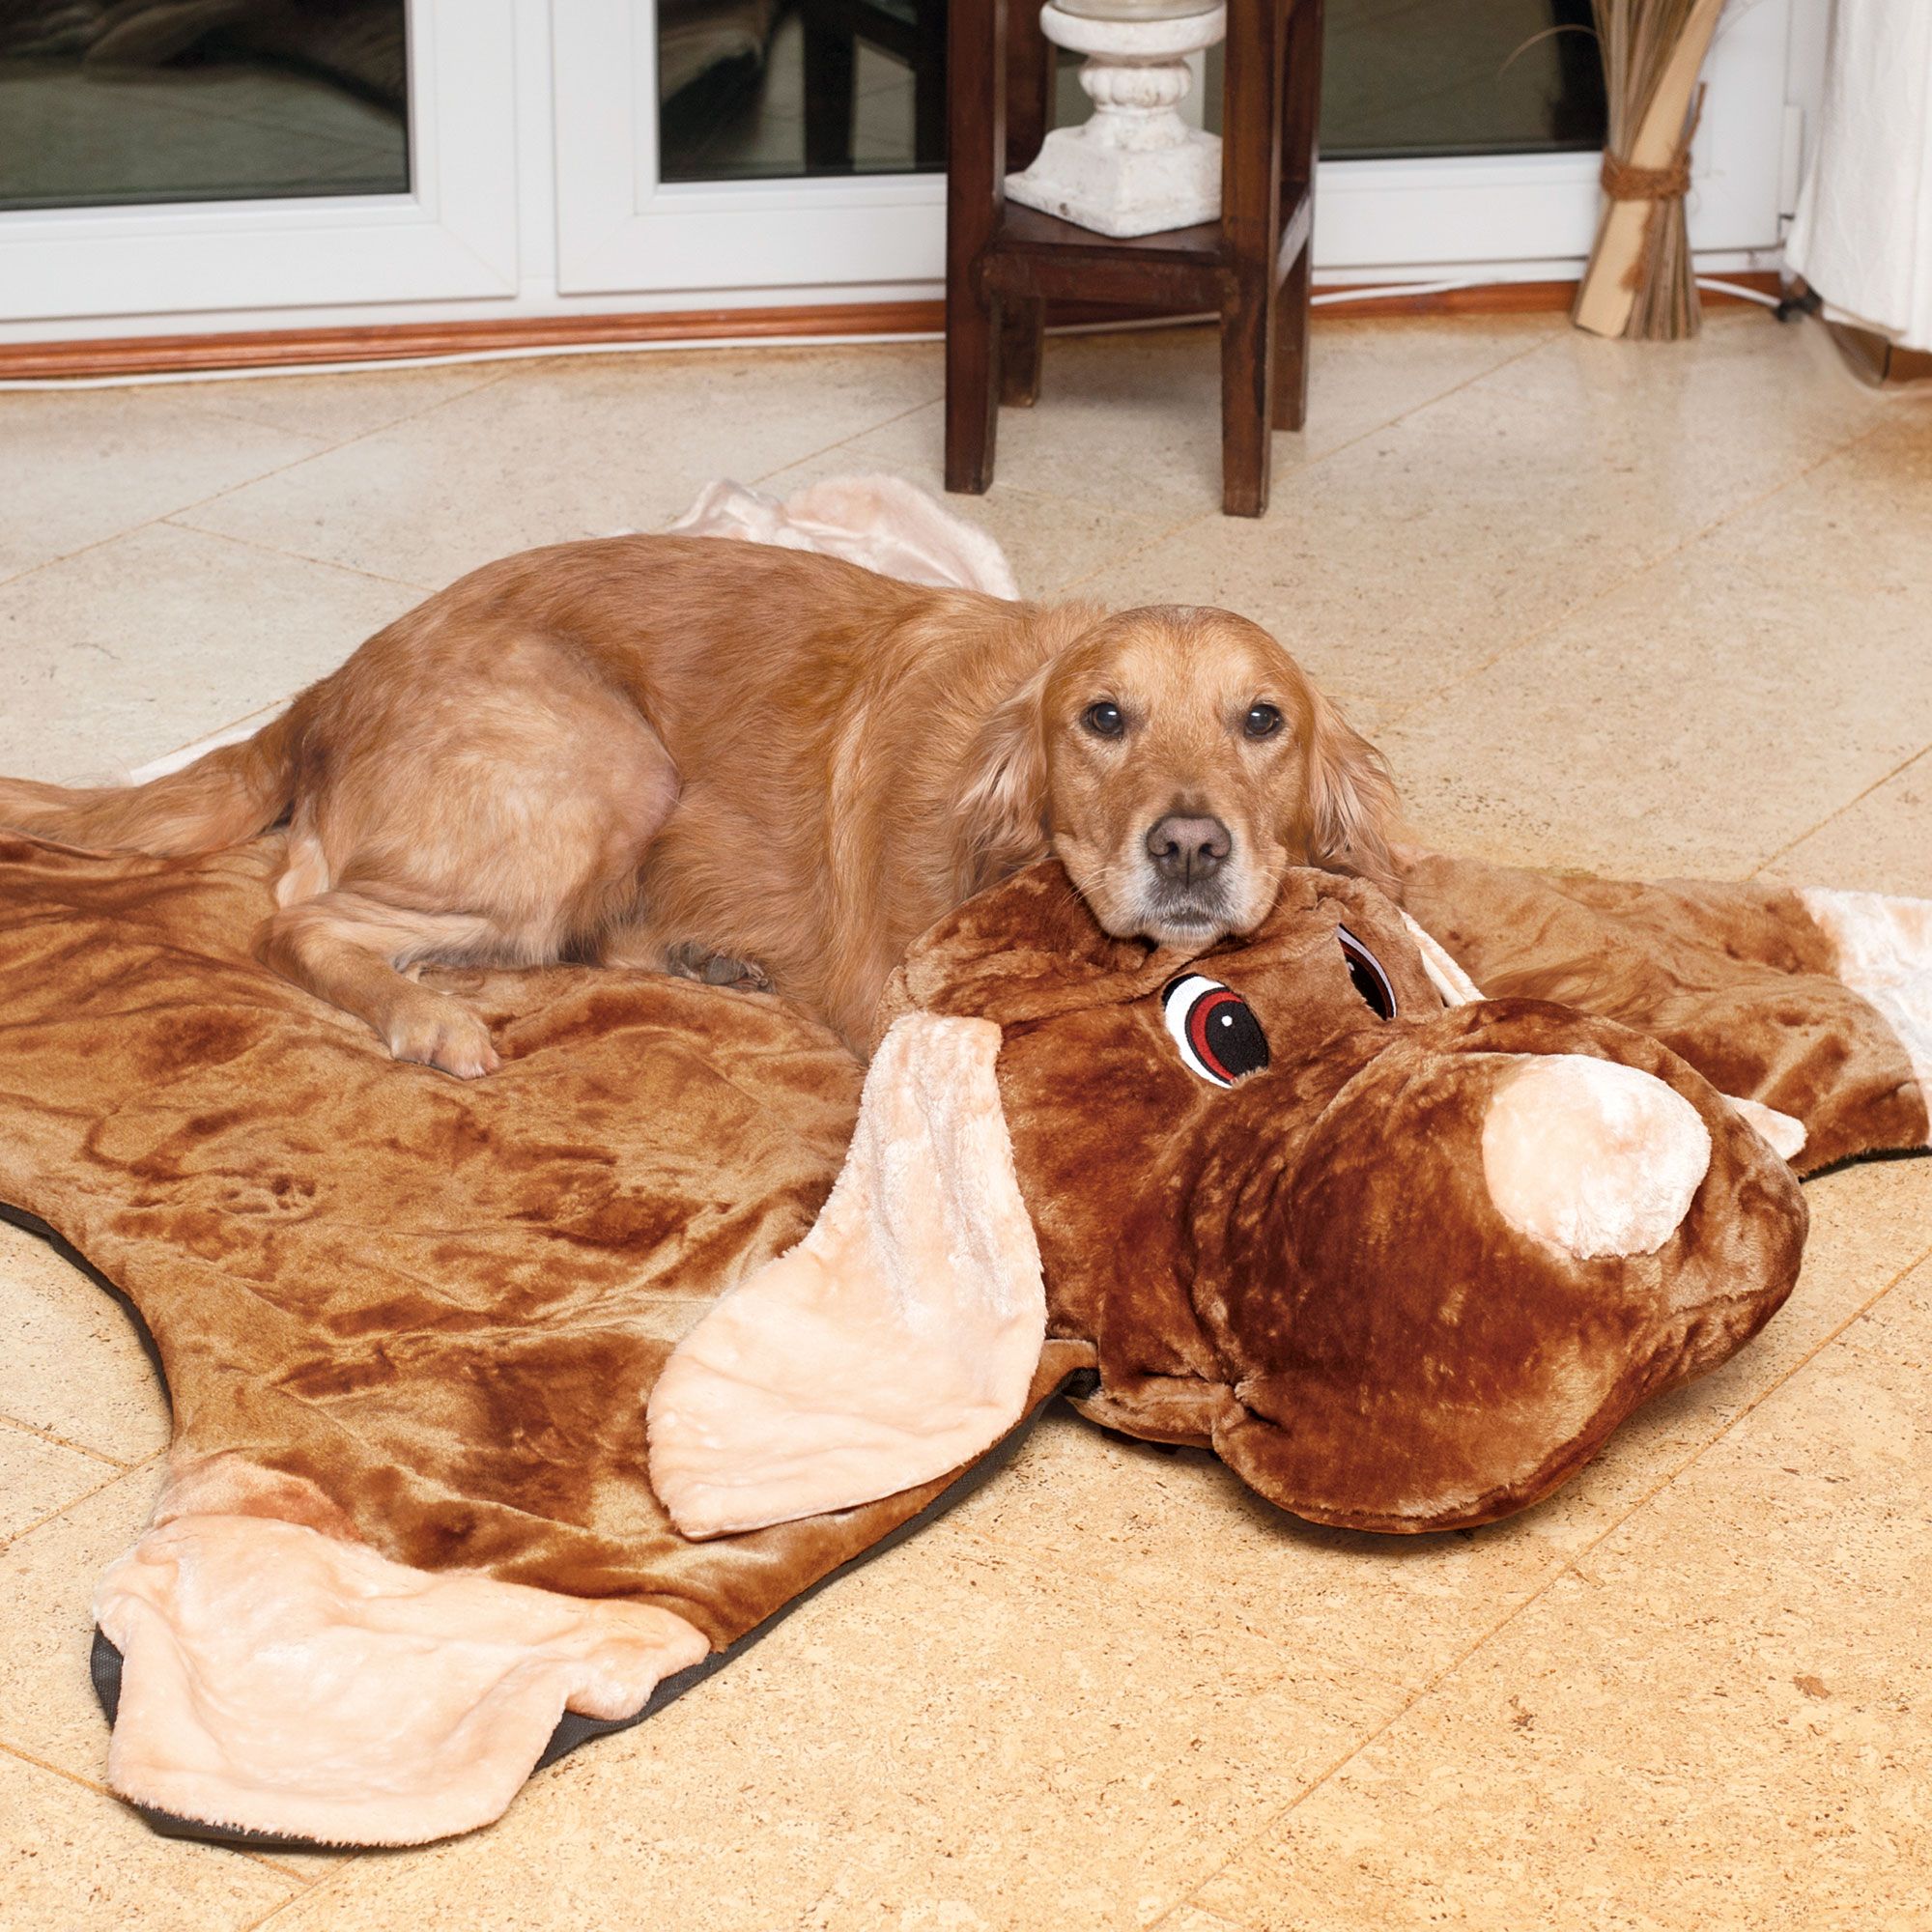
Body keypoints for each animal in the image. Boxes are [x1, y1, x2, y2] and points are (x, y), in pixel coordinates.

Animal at [0, 533, 1391, 1074]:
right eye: (1102, 718)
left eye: (1261, 720)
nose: (1189, 847)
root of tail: (327, 684)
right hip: (607, 766)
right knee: (300, 920)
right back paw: (428, 1018)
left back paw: (702, 960)